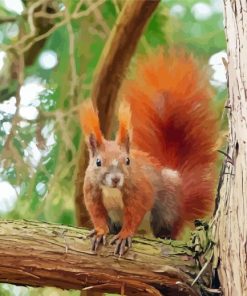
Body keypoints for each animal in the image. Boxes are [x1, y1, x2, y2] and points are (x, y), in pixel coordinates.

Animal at [79, 49, 218, 256]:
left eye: (127, 161)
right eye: (98, 162)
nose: (116, 179)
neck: (112, 190)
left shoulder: (140, 190)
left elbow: (134, 214)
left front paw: (125, 235)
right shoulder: (92, 193)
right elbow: (97, 215)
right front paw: (100, 231)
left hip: (167, 207)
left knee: (166, 228)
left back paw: (165, 236)